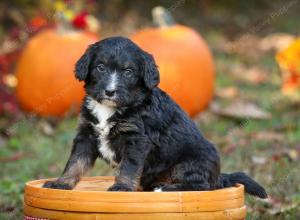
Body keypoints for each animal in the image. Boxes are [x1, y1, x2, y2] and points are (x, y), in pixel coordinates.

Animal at [42, 37, 268, 199]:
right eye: (100, 67)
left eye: (128, 72)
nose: (110, 92)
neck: (111, 108)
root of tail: (218, 175)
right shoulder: (87, 134)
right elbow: (75, 163)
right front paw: (61, 184)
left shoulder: (136, 139)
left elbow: (129, 166)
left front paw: (122, 187)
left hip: (189, 162)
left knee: (200, 186)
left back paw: (165, 188)